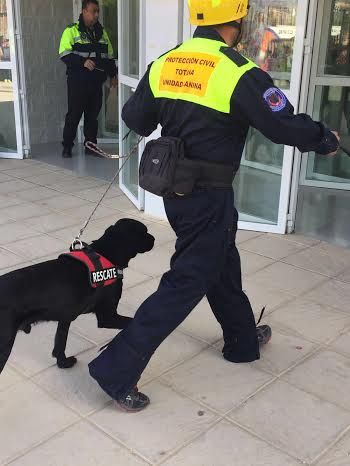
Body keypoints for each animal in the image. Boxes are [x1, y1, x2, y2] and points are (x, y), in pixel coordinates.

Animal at [0, 218, 154, 374]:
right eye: (144, 232)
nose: (153, 239)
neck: (106, 252)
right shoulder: (108, 317)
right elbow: (132, 323)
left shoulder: (65, 317)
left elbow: (60, 343)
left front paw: (63, 362)